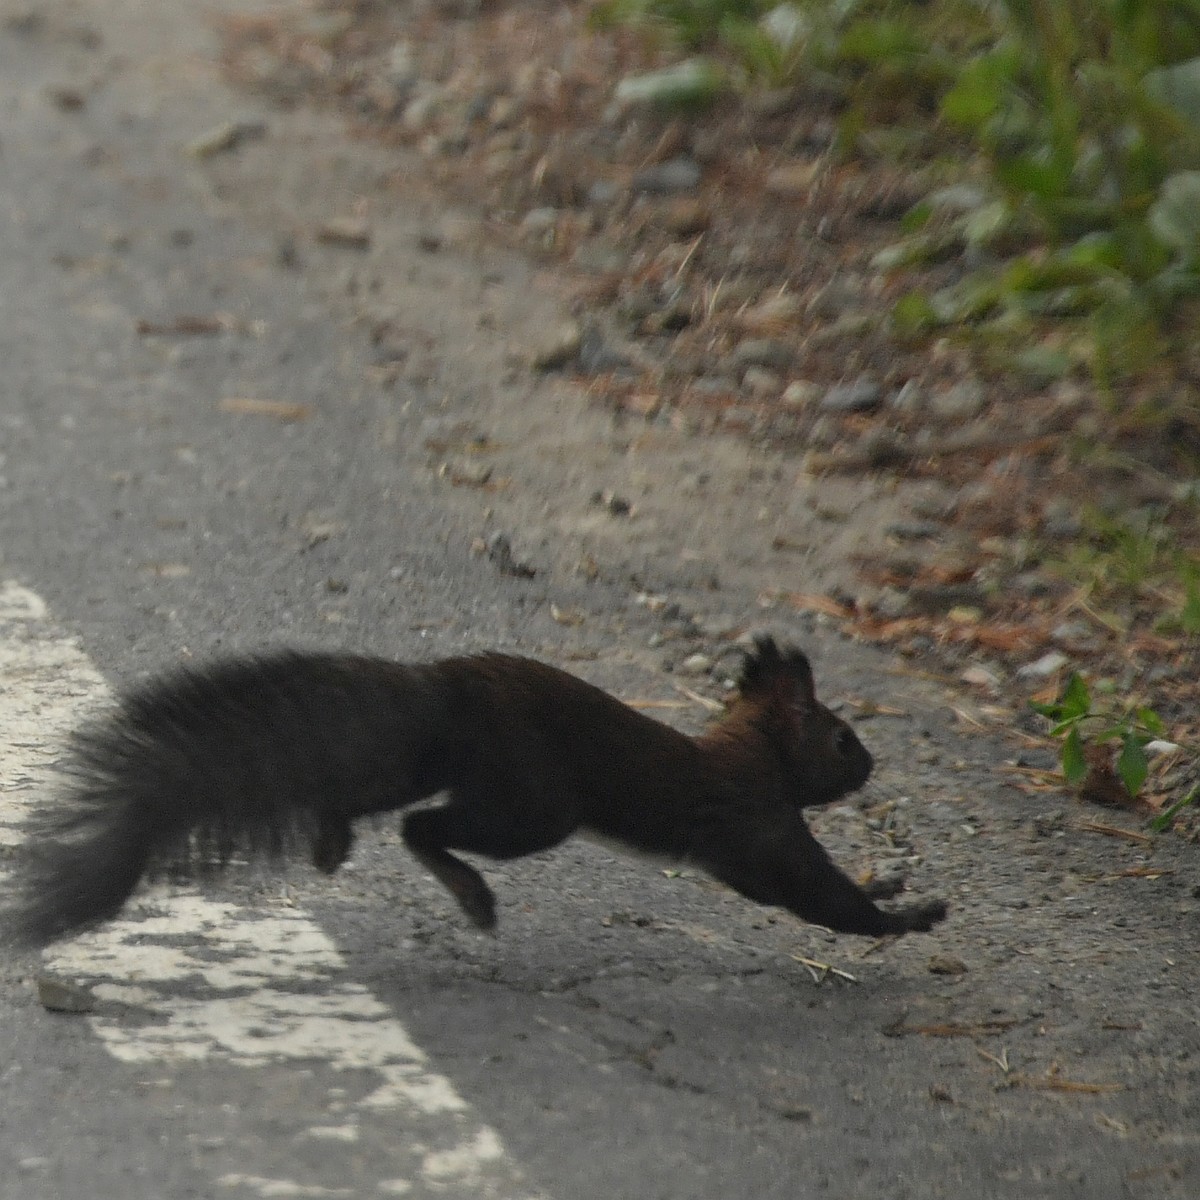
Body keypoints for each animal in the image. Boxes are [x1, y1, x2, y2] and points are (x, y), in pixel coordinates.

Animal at [9, 633, 945, 950]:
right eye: (843, 739)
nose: (870, 767)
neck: (751, 751)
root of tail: (444, 691)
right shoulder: (758, 827)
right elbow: (816, 896)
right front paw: (909, 915)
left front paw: (904, 893)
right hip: (532, 803)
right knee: (425, 827)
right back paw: (470, 894)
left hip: (430, 762)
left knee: (367, 793)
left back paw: (332, 840)